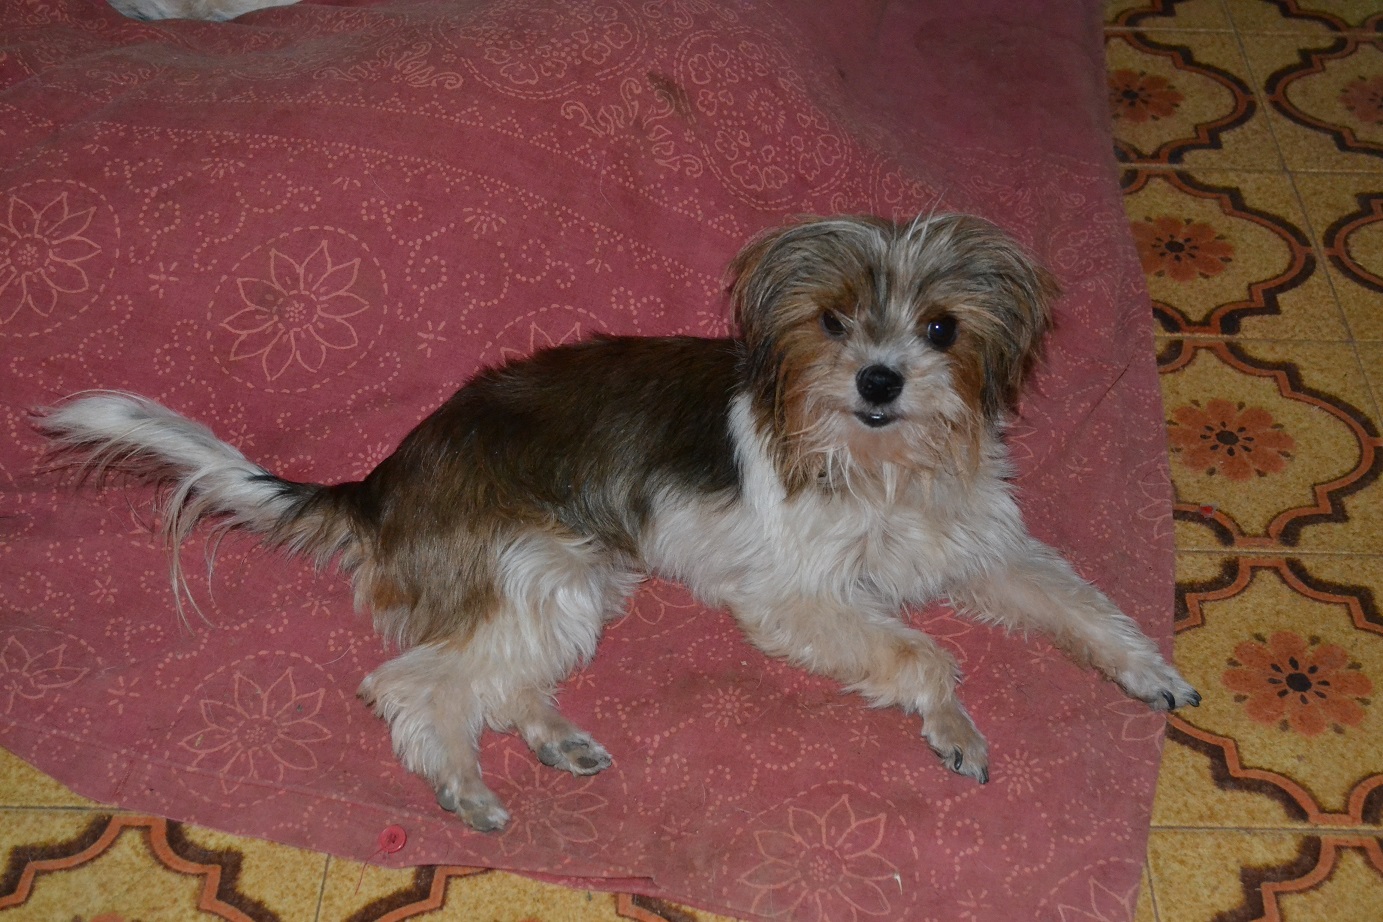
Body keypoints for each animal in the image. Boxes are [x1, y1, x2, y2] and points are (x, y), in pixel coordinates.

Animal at [38, 213, 1200, 832]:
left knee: (497, 679)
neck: (883, 463)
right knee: (411, 684)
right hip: (543, 564)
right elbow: (923, 654)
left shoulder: (981, 548)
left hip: (574, 581)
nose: (878, 379)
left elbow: (1084, 608)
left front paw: (1151, 673)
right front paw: (954, 728)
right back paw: (465, 786)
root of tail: (382, 477)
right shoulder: (797, 597)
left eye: (942, 330)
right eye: (831, 323)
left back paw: (552, 738)